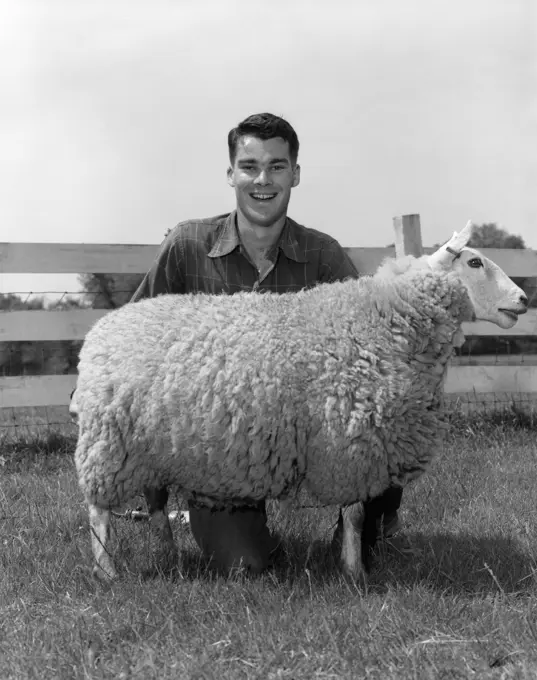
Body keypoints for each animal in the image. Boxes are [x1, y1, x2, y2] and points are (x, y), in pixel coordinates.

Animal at [72, 220, 528, 580]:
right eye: (474, 263)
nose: (524, 299)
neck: (383, 324)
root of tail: (99, 333)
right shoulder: (349, 445)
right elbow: (356, 514)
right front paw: (355, 573)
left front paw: (350, 564)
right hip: (109, 445)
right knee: (98, 511)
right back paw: (106, 570)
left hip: (151, 448)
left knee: (154, 503)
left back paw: (169, 554)